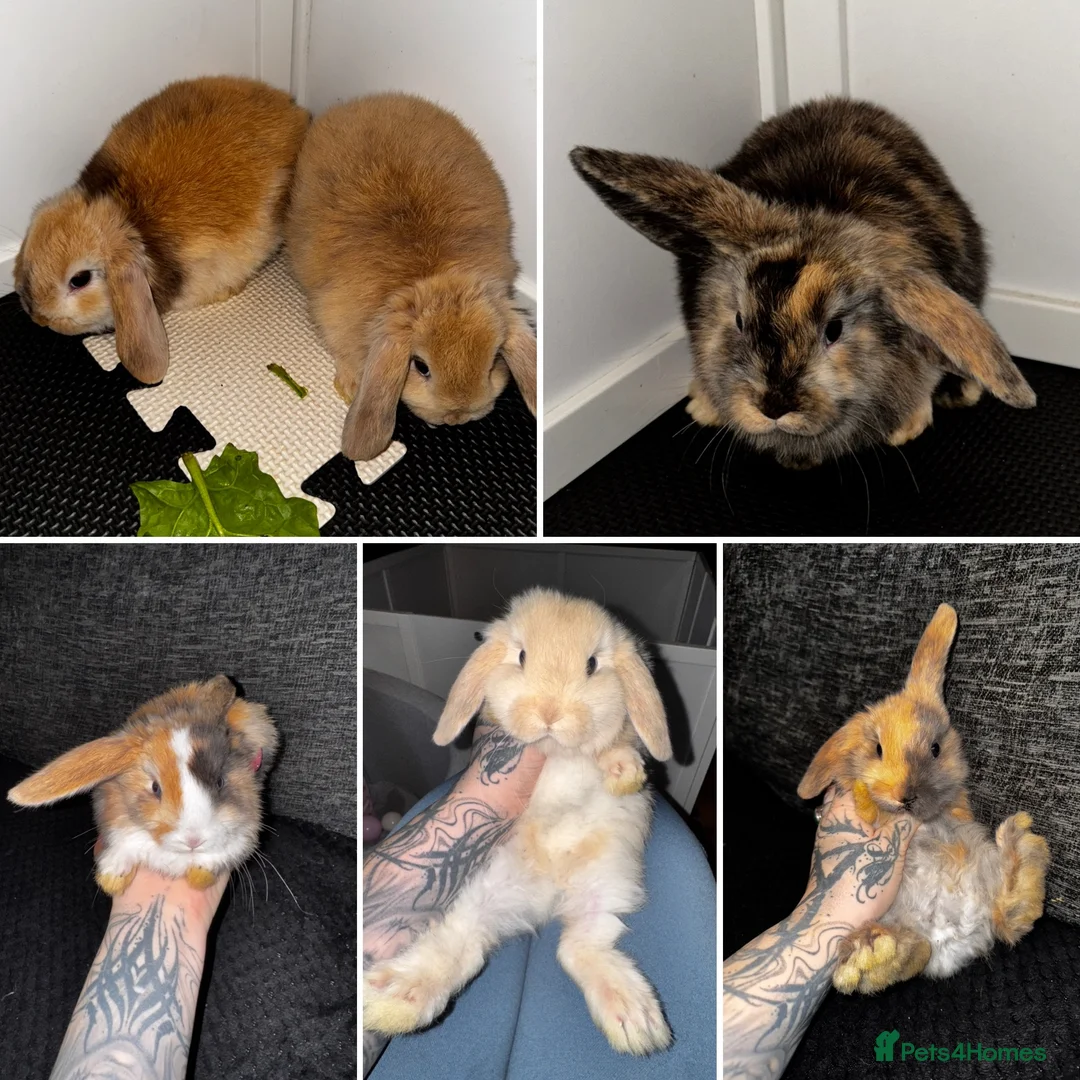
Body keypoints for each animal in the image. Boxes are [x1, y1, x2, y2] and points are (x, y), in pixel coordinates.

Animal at [7, 675, 278, 896]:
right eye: (155, 788)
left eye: (220, 781)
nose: (193, 840)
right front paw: (112, 876)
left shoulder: (245, 833)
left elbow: (223, 854)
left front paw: (201, 871)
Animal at [285, 93, 537, 461]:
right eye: (420, 366)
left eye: (494, 360)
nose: (456, 416)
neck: (434, 274)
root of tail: (372, 101)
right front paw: (351, 386)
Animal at [363, 588, 674, 1055]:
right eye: (522, 656)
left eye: (592, 664)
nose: (549, 712)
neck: (556, 751)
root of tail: (548, 897)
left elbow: (617, 744)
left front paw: (625, 775)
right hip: (477, 889)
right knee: (463, 942)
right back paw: (395, 1002)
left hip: (608, 882)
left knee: (578, 945)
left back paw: (634, 1021)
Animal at [797, 604, 1050, 993]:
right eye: (877, 749)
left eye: (935, 749)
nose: (905, 796)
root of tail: (953, 938)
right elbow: (869, 813)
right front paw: (863, 793)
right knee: (918, 951)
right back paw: (875, 954)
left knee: (1008, 918)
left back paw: (1021, 850)